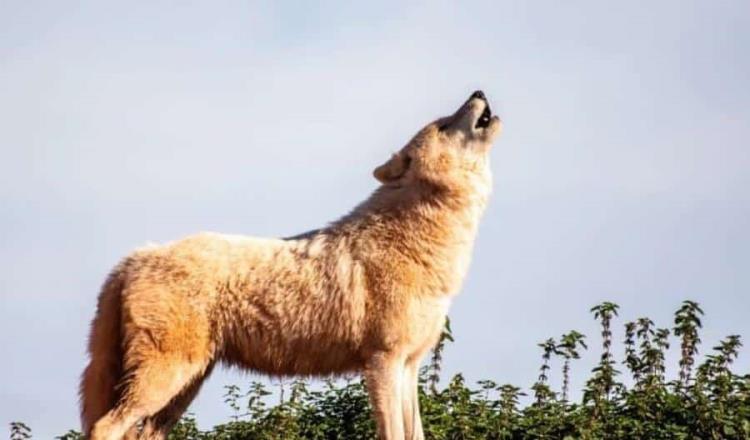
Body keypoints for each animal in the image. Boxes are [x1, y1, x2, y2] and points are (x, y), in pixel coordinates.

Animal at [81, 91, 506, 438]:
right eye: (444, 124)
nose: (479, 92)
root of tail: (134, 257)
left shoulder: (410, 365)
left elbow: (415, 433)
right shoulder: (383, 362)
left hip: (183, 386)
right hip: (166, 378)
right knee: (105, 426)